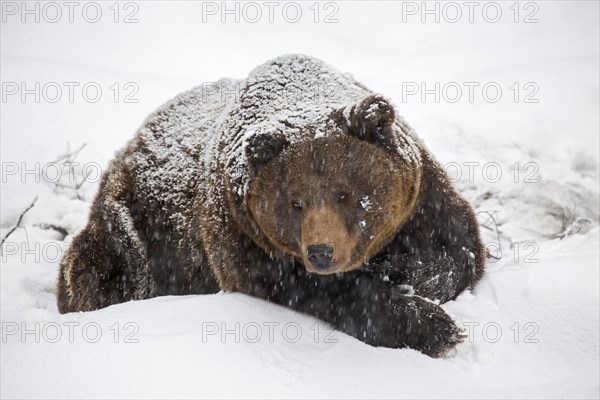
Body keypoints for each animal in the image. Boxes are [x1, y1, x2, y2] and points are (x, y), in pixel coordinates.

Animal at [58, 53, 486, 356]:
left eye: (345, 193)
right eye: (294, 202)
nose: (321, 251)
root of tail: (127, 148)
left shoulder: (423, 197)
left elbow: (458, 251)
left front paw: (403, 272)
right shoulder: (244, 237)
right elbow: (322, 293)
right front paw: (438, 328)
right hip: (134, 229)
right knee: (98, 269)